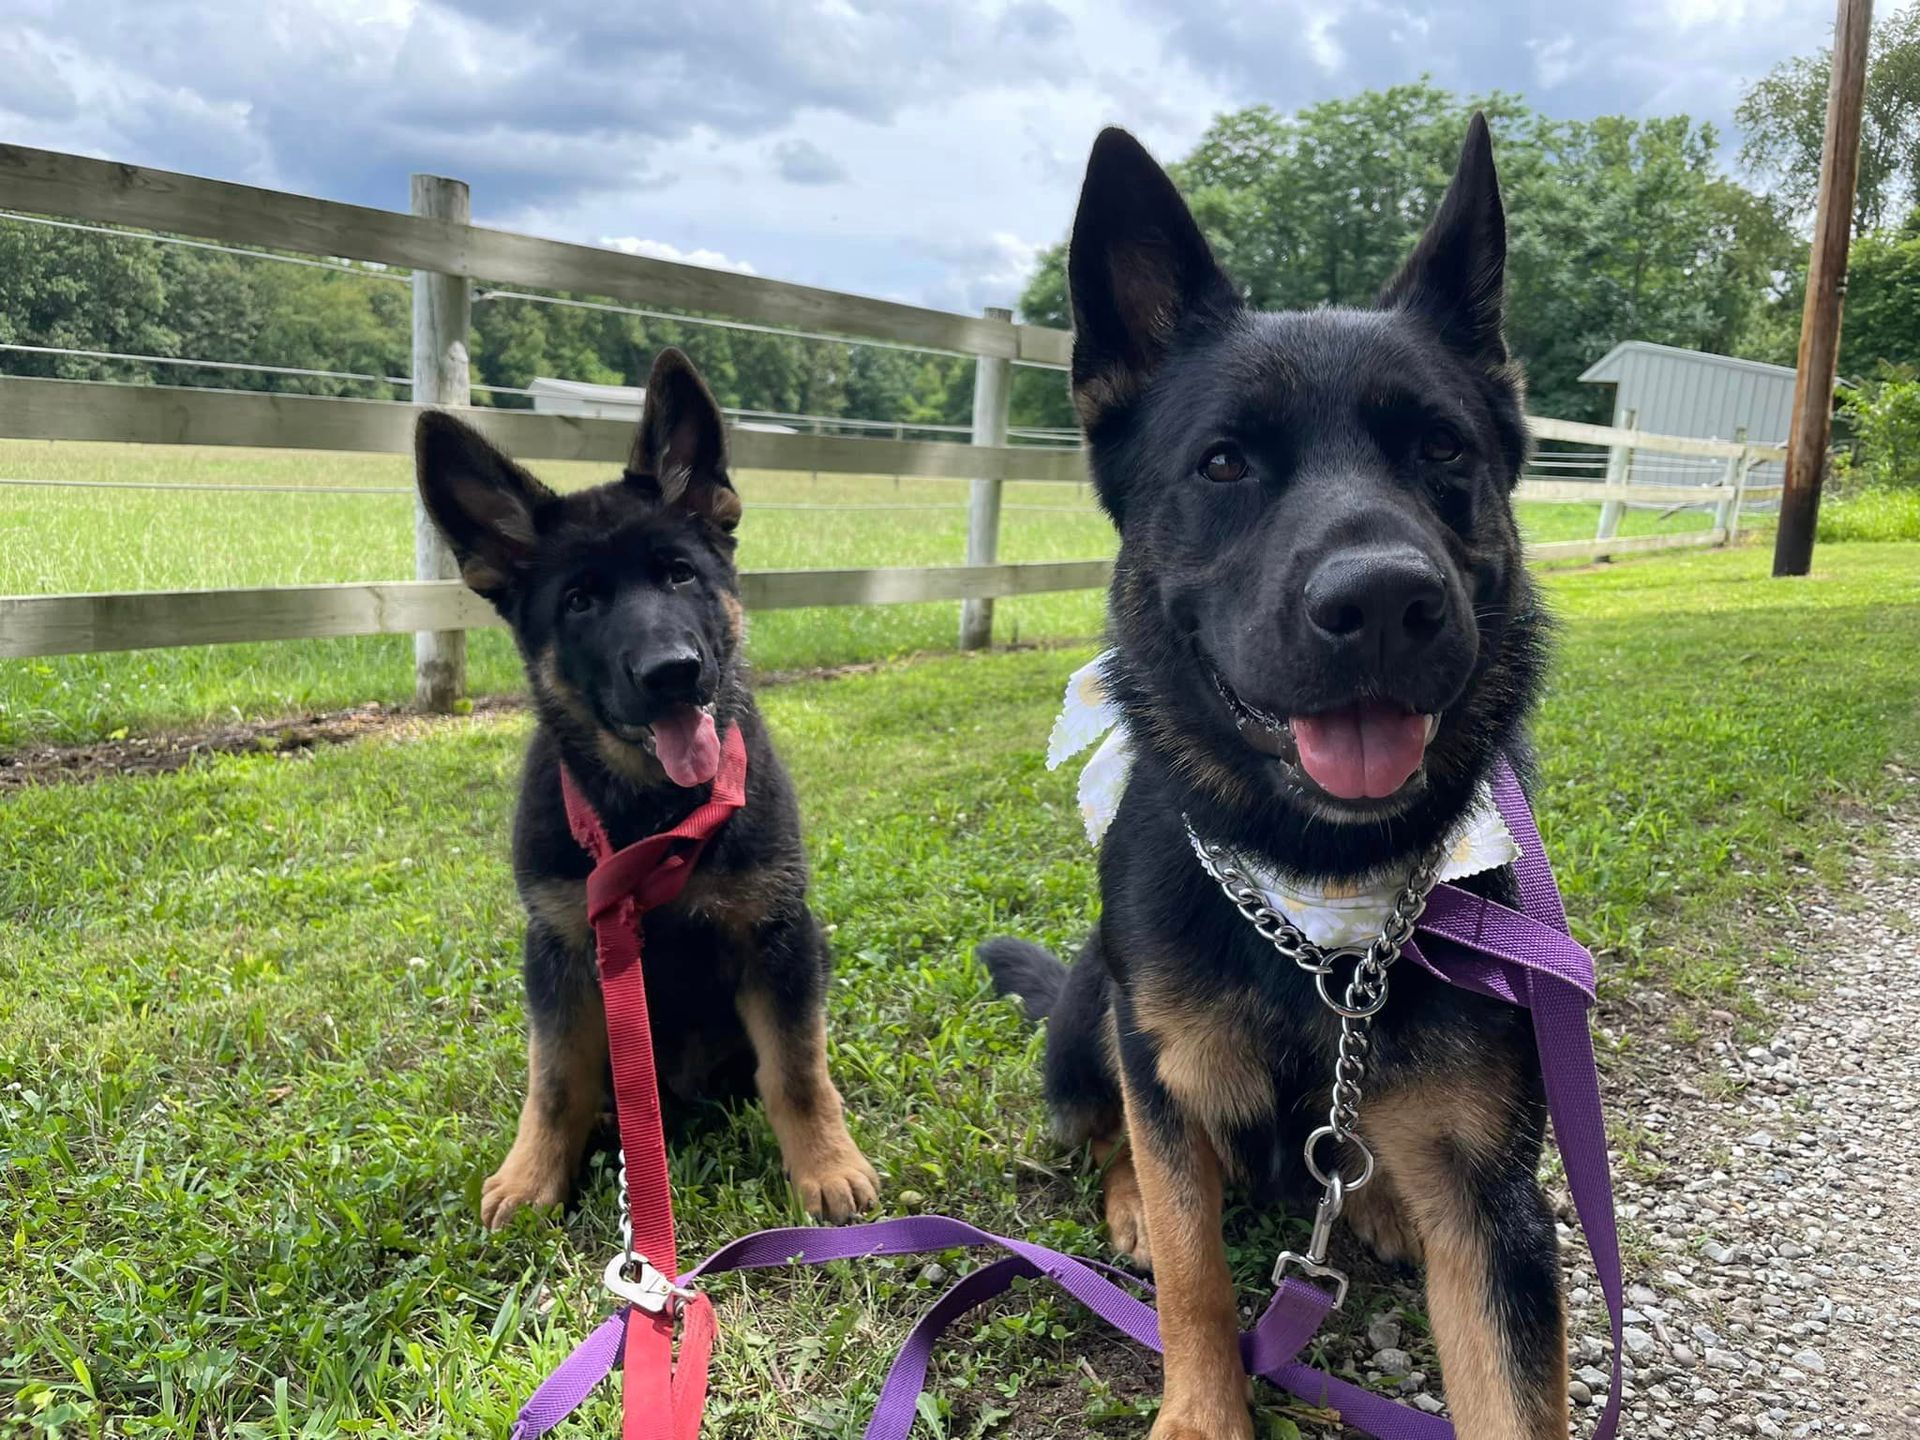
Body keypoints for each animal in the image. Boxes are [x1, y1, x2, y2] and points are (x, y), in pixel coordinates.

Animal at [416, 347, 879, 1228]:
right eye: (579, 601)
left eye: (679, 575)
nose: (672, 673)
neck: (653, 815)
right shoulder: (563, 949)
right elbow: (555, 1078)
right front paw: (533, 1174)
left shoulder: (778, 936)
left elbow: (798, 1069)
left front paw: (827, 1165)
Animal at [983, 118, 1566, 1436]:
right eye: (1225, 463)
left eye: (1442, 449)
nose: (1384, 602)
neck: (1321, 900)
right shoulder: (1167, 1076)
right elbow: (1193, 1268)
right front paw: (1202, 1408)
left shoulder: (1496, 1205)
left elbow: (1512, 1389)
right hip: (1091, 1019)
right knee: (1114, 1136)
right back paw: (1128, 1202)